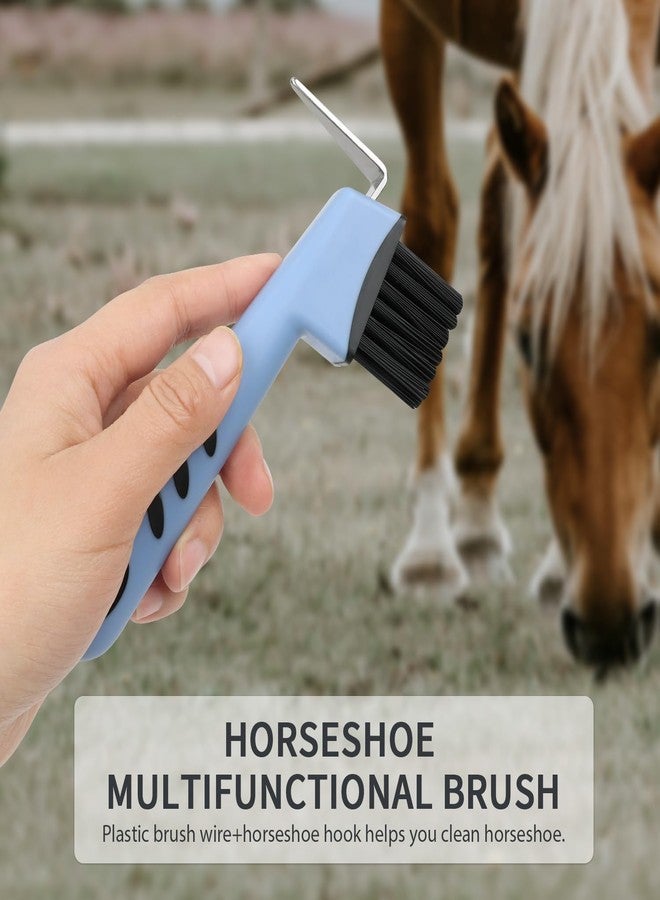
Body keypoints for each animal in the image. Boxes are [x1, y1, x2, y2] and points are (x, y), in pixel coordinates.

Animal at [380, 0, 660, 668]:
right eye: (527, 343)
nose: (611, 626)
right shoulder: (405, 22)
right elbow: (432, 219)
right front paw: (429, 548)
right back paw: (469, 527)